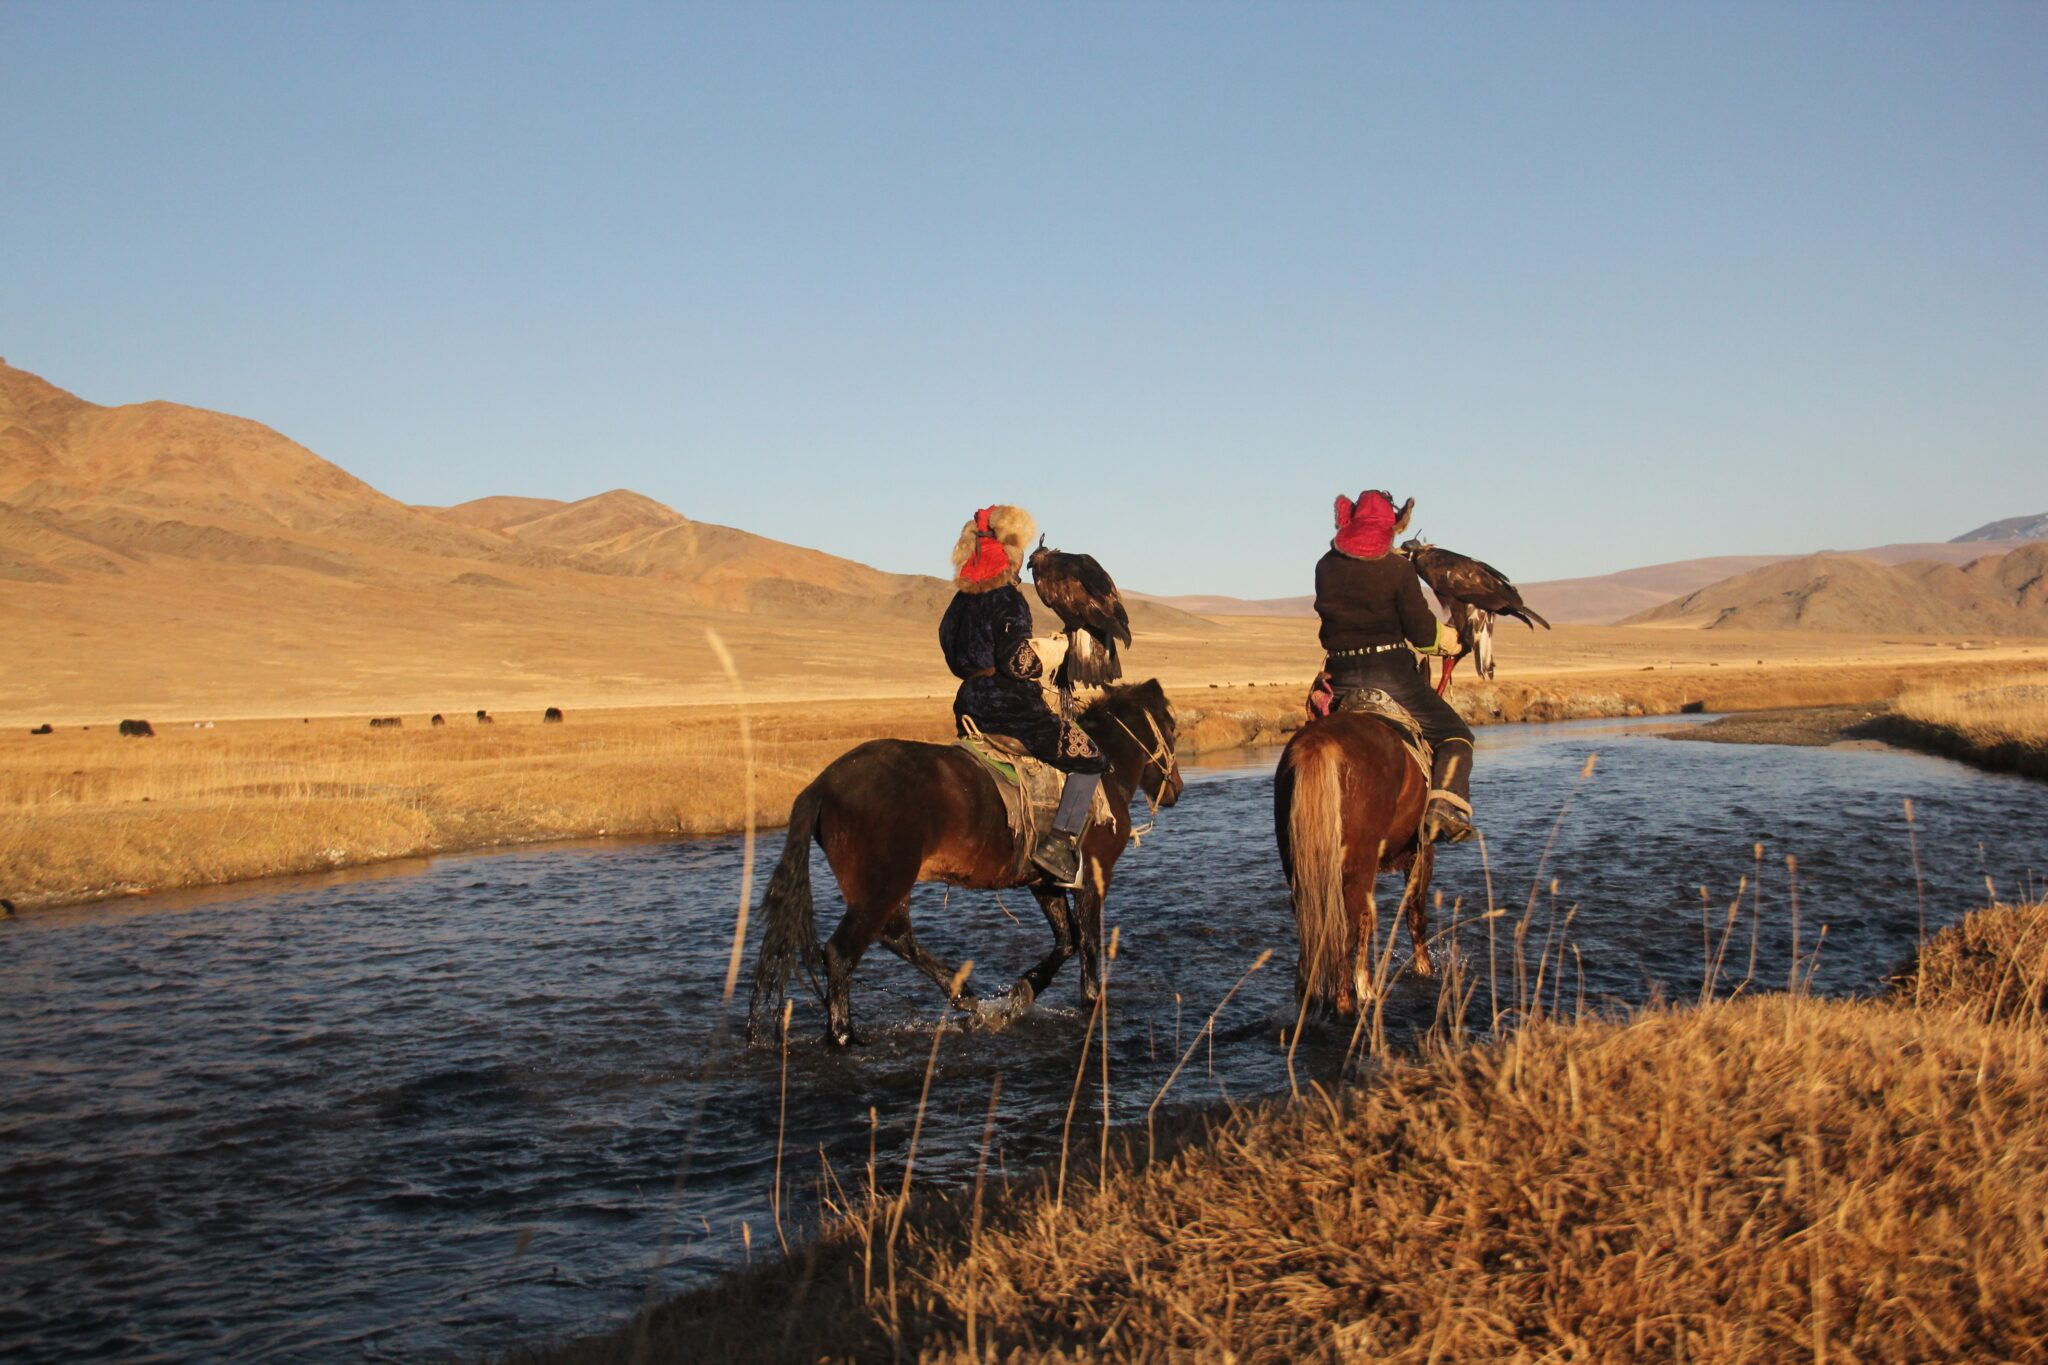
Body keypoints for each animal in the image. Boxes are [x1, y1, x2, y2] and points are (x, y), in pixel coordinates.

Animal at [749, 679, 1187, 1047]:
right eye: (1171, 725)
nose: (1176, 790)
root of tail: (822, 784)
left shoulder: (1044, 881)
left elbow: (1067, 940)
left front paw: (1022, 991)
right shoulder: (1094, 876)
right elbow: (1090, 943)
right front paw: (1092, 1001)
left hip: (890, 887)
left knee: (897, 937)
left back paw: (965, 997)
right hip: (884, 886)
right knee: (842, 953)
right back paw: (843, 1036)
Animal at [1269, 716, 1433, 1015]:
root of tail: (1320, 744)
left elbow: (1368, 920)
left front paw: (1366, 987)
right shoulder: (1421, 850)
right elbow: (1415, 914)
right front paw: (1425, 969)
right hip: (1358, 868)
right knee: (1343, 930)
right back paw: (1343, 1003)